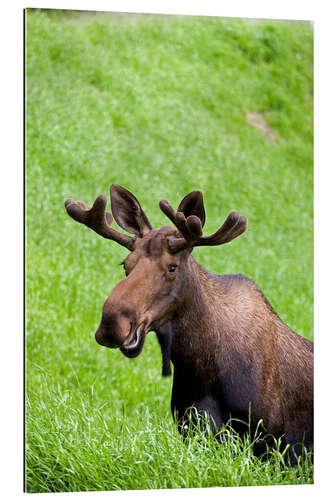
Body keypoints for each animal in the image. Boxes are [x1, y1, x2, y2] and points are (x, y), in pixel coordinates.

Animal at [64, 184, 312, 460]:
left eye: (172, 267)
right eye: (125, 264)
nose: (111, 325)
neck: (199, 365)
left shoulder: (274, 445)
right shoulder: (193, 431)